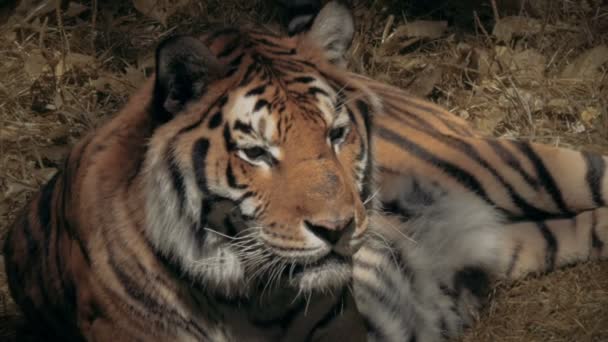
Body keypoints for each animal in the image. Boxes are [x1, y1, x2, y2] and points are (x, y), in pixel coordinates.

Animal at [4, 0, 608, 342]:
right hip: (518, 241)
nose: (338, 230)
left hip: (505, 164)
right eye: (257, 153)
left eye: (336, 135)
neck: (250, 305)